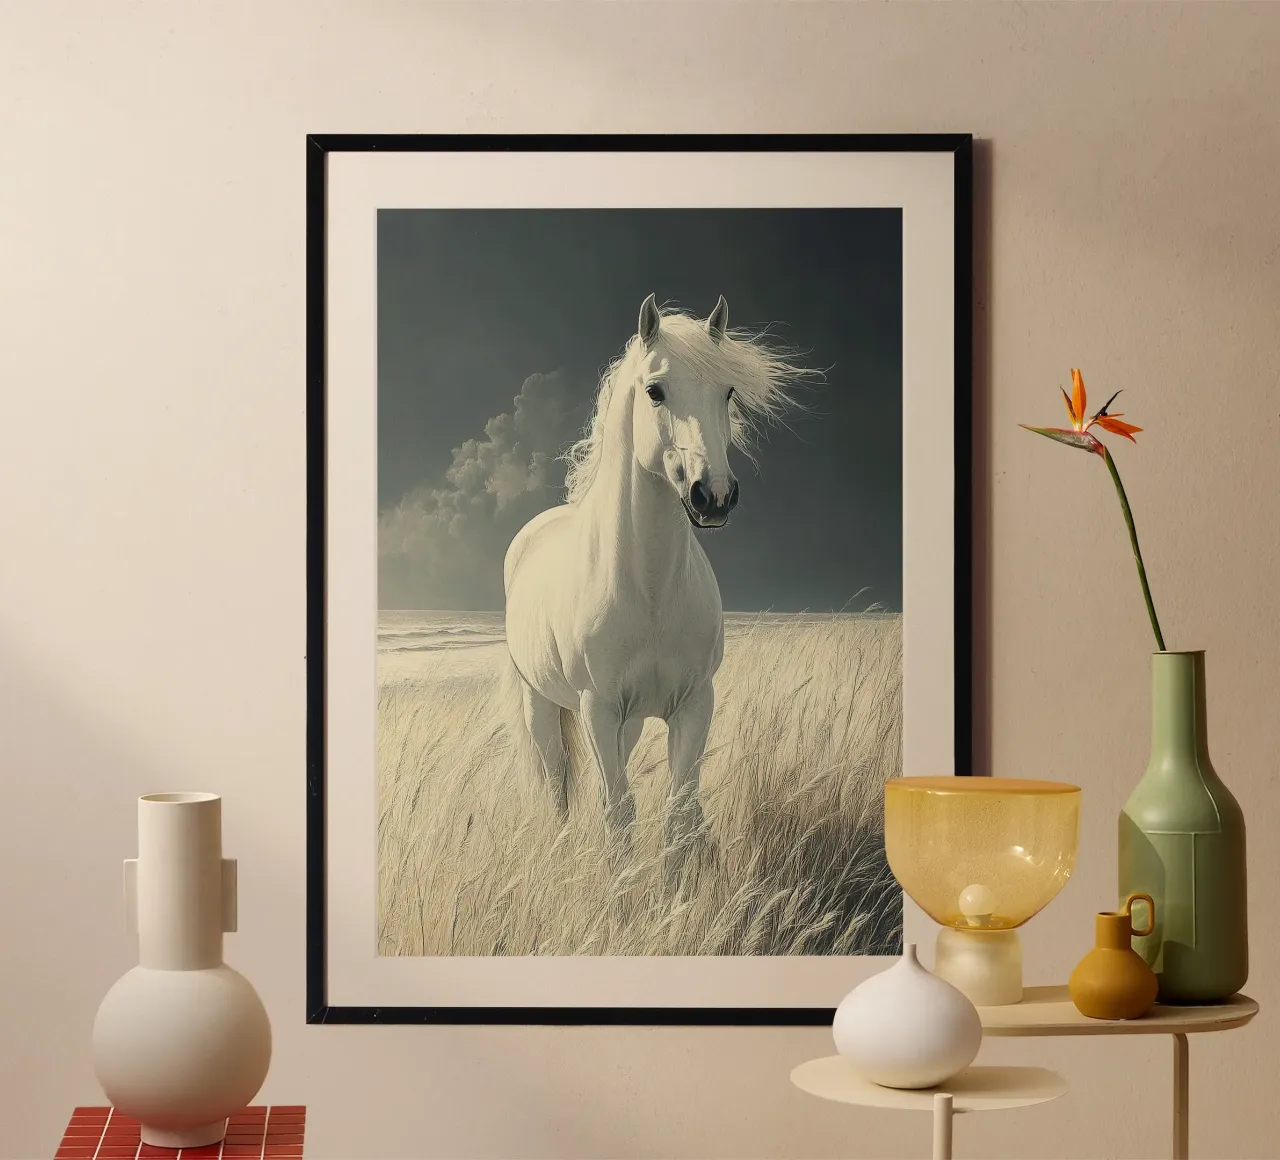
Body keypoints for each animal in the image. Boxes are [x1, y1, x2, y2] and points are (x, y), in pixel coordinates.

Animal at [502, 294, 808, 871]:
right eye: (655, 391)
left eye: (727, 391)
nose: (714, 495)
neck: (648, 591)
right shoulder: (597, 709)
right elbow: (618, 813)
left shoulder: (693, 704)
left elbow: (679, 814)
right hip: (542, 705)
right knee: (558, 783)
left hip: (631, 720)